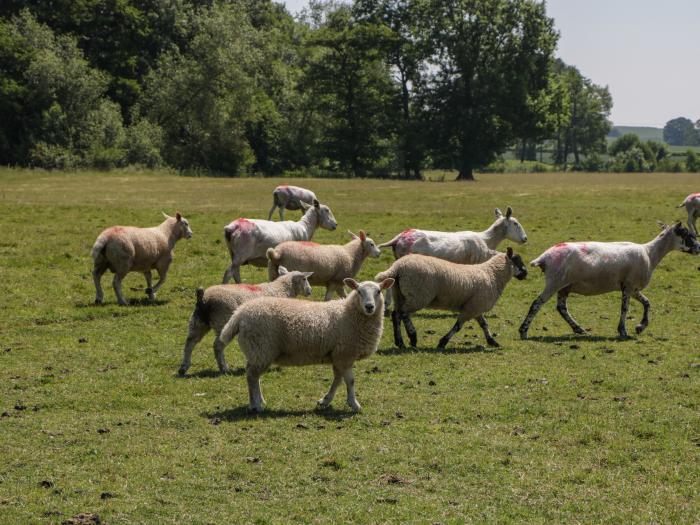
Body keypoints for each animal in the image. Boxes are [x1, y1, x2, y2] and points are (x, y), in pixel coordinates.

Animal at [178, 268, 314, 374]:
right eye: (305, 279)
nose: (310, 291)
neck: (281, 289)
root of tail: (204, 299)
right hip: (223, 321)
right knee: (217, 345)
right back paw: (224, 368)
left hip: (198, 321)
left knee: (190, 342)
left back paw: (184, 367)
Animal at [217, 276, 394, 412]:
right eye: (359, 291)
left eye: (378, 291)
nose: (369, 307)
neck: (350, 314)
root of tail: (239, 314)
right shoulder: (345, 354)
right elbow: (350, 381)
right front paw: (354, 405)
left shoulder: (337, 356)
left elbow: (337, 380)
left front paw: (325, 401)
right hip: (262, 348)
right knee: (252, 376)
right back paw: (256, 406)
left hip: (256, 351)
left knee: (252, 375)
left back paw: (257, 401)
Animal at [374, 249, 528, 350]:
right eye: (517, 260)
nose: (526, 273)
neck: (493, 273)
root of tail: (397, 267)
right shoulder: (471, 308)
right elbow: (458, 326)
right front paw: (443, 342)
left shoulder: (476, 307)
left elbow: (484, 324)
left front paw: (492, 341)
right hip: (418, 295)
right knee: (404, 314)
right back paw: (412, 337)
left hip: (400, 294)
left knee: (396, 315)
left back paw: (400, 342)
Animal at [516, 222, 700, 340]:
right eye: (686, 234)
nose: (698, 248)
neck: (650, 253)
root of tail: (544, 257)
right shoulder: (628, 286)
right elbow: (625, 308)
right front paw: (623, 331)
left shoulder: (632, 288)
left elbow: (647, 303)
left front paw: (640, 326)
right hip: (554, 282)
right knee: (536, 304)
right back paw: (523, 331)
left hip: (564, 286)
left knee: (561, 308)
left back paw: (579, 329)